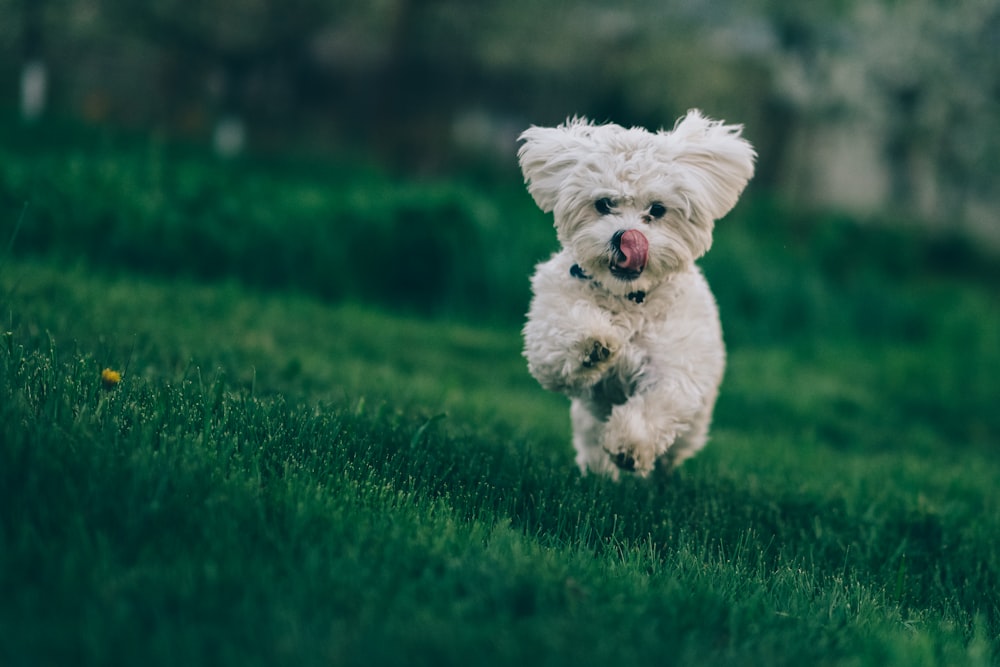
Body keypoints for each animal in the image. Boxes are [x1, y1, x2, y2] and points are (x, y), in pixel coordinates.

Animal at [520, 109, 752, 478]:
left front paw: (629, 445)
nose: (626, 237)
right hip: (587, 422)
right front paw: (595, 343)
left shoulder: (675, 367)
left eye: (657, 210)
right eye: (603, 204)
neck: (628, 298)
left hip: (693, 428)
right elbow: (561, 339)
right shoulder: (547, 331)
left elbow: (657, 405)